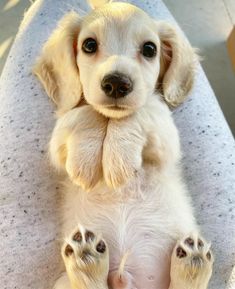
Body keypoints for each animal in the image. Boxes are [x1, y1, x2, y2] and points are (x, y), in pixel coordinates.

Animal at [34, 0, 213, 288]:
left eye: (150, 49)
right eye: (89, 45)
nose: (117, 83)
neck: (111, 121)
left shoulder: (167, 139)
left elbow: (142, 110)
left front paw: (118, 161)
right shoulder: (58, 142)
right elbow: (85, 111)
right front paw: (87, 163)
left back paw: (192, 265)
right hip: (62, 282)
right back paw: (87, 261)